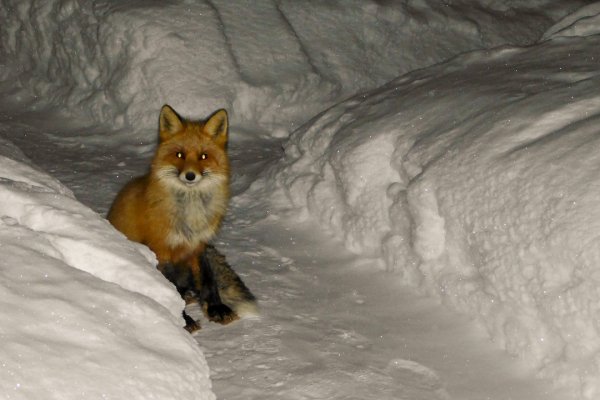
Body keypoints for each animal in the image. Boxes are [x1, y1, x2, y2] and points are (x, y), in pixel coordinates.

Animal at [108, 105, 255, 332]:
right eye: (179, 155)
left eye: (203, 156)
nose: (190, 176)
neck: (190, 214)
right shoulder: (161, 249)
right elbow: (170, 288)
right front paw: (184, 319)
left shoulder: (199, 244)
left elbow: (209, 279)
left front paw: (216, 308)